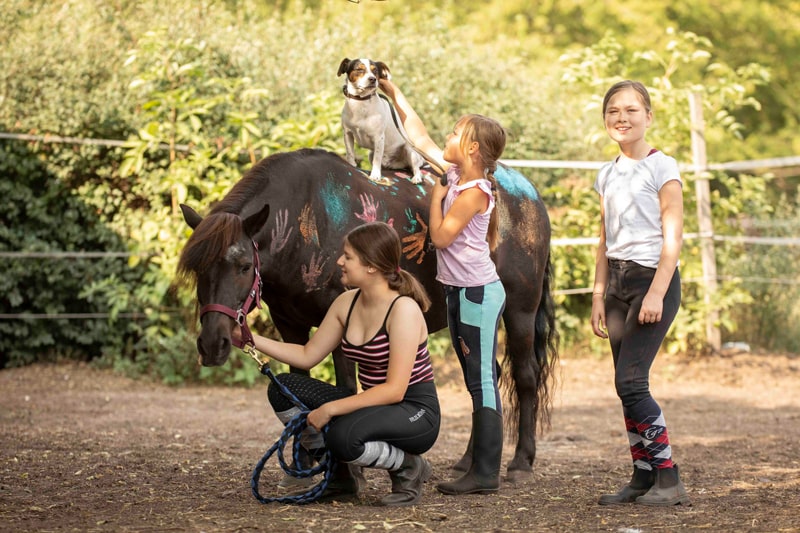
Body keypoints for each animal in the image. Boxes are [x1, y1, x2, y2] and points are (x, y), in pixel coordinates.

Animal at [178, 148, 560, 480]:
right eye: (197, 269)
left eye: (244, 266)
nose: (212, 344)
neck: (306, 220)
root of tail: (529, 195)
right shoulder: (291, 327)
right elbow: (298, 381)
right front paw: (303, 468)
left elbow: (346, 390)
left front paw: (349, 473)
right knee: (483, 377)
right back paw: (468, 461)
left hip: (520, 309)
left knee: (524, 377)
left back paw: (521, 463)